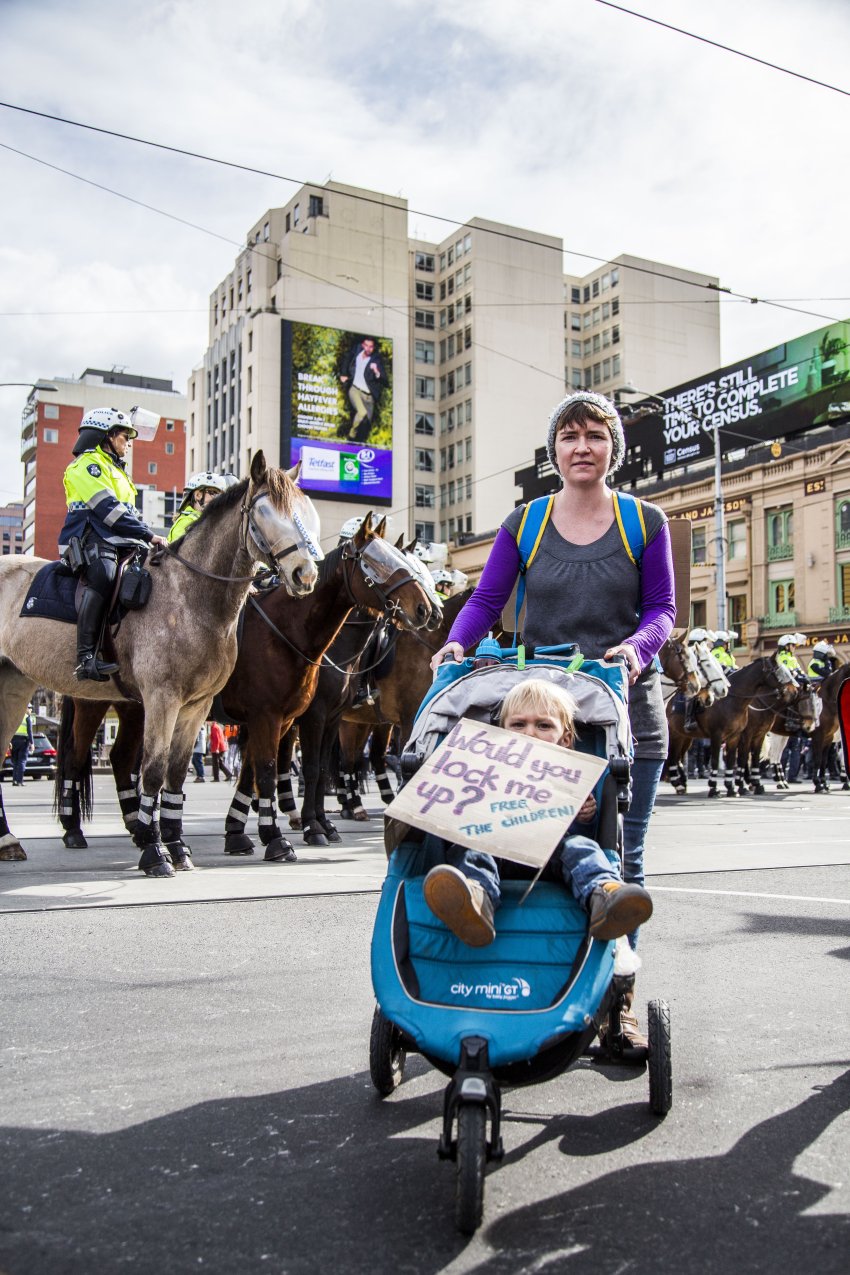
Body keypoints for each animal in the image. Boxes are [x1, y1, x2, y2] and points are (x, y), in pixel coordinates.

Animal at [1, 453, 321, 872]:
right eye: (266, 512)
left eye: (307, 513)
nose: (305, 574)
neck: (191, 599)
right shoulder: (167, 699)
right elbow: (154, 772)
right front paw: (156, 852)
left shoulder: (199, 706)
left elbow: (177, 775)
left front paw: (177, 844)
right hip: (88, 702)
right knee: (76, 758)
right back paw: (74, 832)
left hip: (19, 687)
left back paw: (12, 840)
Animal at [667, 657, 800, 795]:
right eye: (778, 670)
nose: (794, 691)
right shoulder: (725, 735)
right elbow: (732, 759)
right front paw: (722, 787)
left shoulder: (751, 735)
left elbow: (745, 759)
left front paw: (745, 785)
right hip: (674, 735)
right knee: (672, 757)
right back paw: (678, 784)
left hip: (685, 737)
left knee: (678, 758)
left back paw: (682, 782)